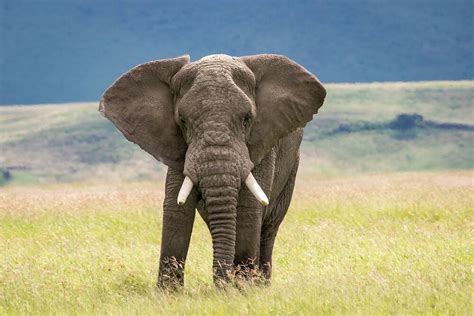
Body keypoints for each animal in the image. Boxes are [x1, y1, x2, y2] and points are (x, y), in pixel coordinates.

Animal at [99, 53, 326, 286]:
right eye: (182, 121)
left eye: (247, 119)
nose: (226, 284)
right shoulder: (177, 147)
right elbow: (176, 208)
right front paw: (169, 292)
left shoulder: (262, 144)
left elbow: (248, 208)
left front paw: (243, 289)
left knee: (269, 227)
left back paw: (261, 285)